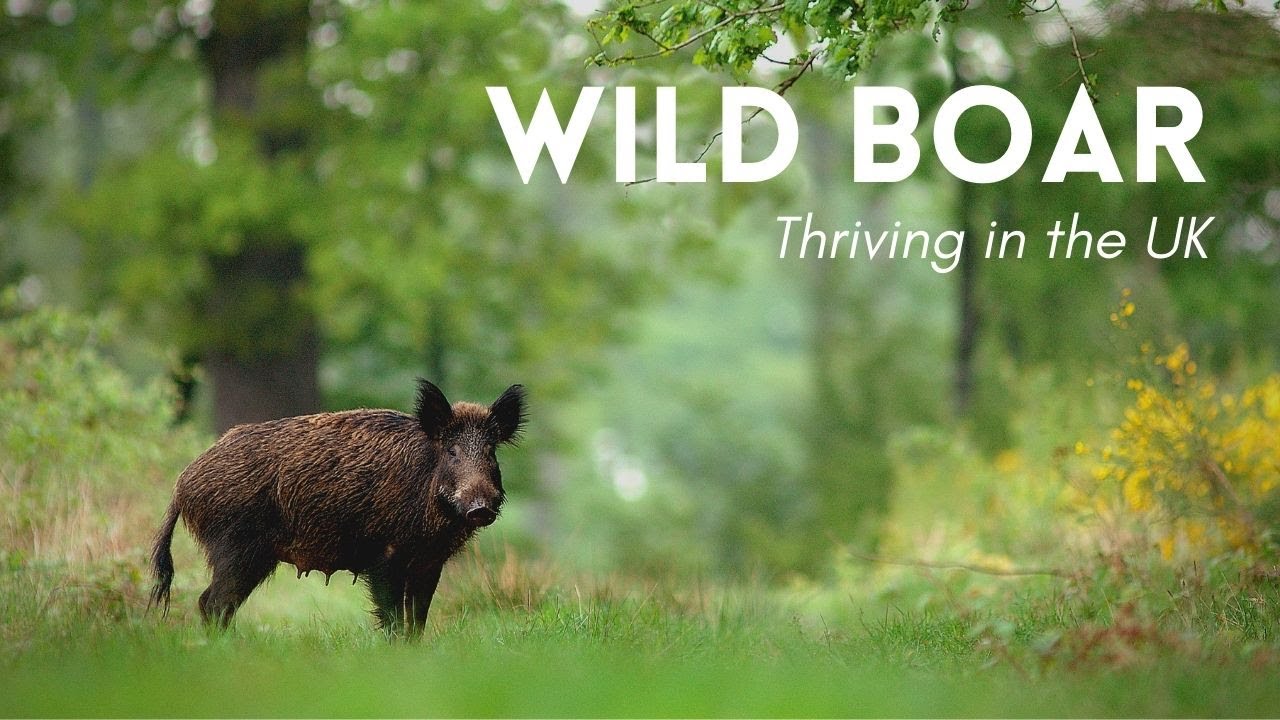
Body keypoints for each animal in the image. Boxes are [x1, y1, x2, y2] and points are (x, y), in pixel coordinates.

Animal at [148, 379, 526, 635]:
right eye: (451, 450)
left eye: (491, 451)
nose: (480, 507)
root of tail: (182, 484)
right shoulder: (384, 556)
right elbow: (392, 619)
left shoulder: (429, 563)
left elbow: (416, 619)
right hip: (235, 547)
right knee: (213, 603)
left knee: (214, 604)